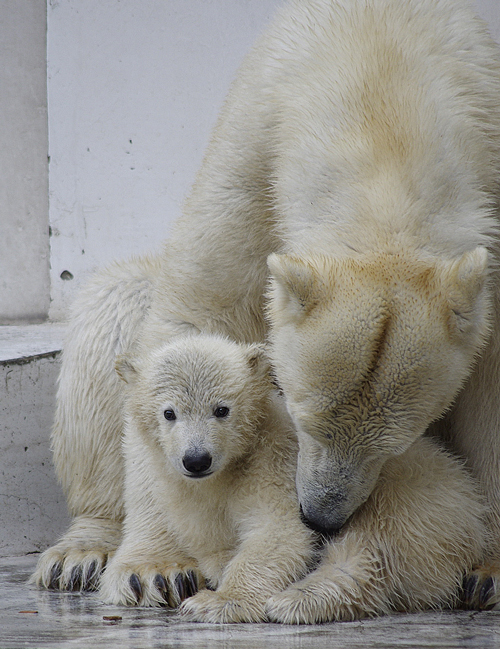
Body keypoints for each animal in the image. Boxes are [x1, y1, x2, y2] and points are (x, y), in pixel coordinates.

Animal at [33, 0, 498, 616]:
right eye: (303, 419)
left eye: (401, 439)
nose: (321, 518)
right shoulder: (258, 145)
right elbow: (198, 313)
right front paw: (153, 570)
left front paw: (489, 571)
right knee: (115, 308)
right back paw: (83, 551)